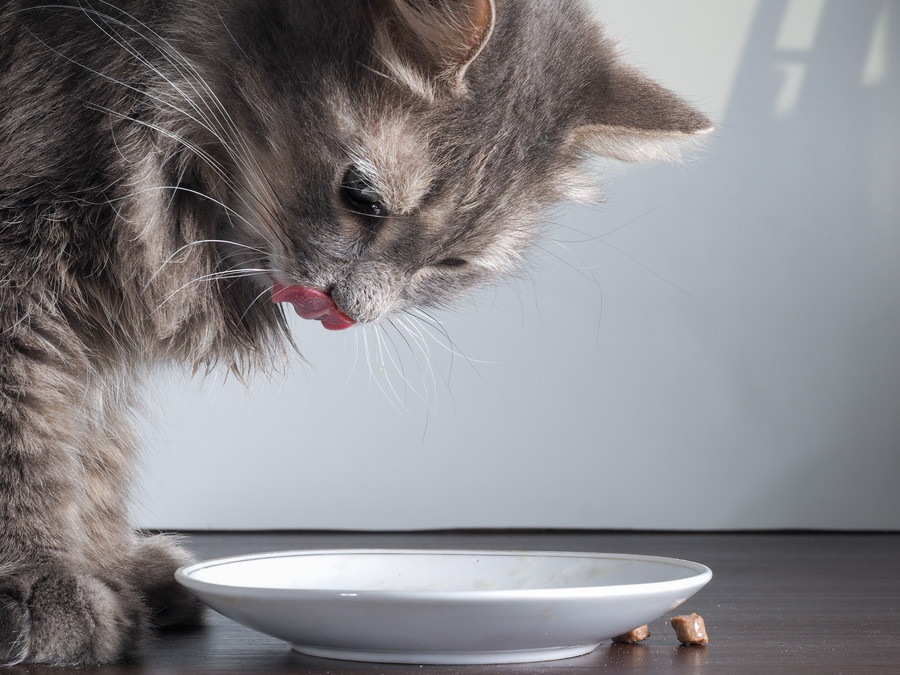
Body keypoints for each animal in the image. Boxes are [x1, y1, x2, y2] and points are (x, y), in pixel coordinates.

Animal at [0, 0, 712, 664]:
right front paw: (42, 581)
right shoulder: (25, 286)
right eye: (361, 198)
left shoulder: (96, 341)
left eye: (452, 263)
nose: (351, 307)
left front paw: (111, 567)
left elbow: (95, 464)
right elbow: (29, 446)